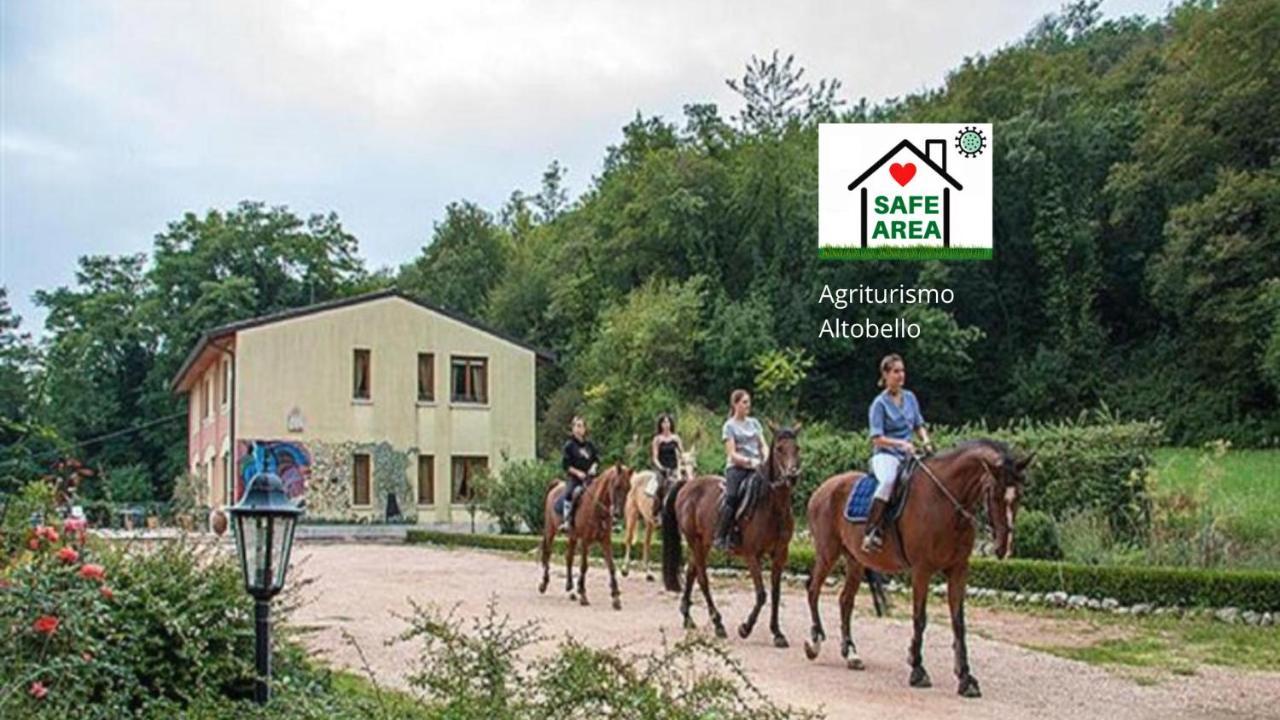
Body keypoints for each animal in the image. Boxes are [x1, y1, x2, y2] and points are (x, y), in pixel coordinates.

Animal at [535, 461, 629, 607]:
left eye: (628, 488)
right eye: (617, 486)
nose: (618, 514)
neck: (596, 507)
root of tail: (557, 485)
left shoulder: (605, 540)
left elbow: (611, 566)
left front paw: (615, 597)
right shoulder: (585, 541)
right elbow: (584, 566)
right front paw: (583, 594)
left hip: (572, 536)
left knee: (568, 557)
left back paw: (570, 588)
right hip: (550, 531)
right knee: (548, 554)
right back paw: (544, 584)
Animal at [622, 448, 701, 576]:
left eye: (695, 468)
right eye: (683, 470)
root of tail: (636, 476)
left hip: (649, 522)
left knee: (646, 543)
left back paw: (648, 572)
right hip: (632, 515)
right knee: (629, 540)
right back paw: (625, 568)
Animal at [660, 422, 798, 648]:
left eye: (797, 448)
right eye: (779, 449)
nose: (792, 475)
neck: (773, 507)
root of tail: (687, 485)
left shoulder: (780, 555)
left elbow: (776, 594)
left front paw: (777, 633)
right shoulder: (752, 556)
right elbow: (762, 594)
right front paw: (745, 628)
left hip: (703, 543)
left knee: (691, 572)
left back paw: (688, 618)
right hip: (694, 541)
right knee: (702, 579)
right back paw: (718, 624)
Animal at [803, 438, 1034, 696]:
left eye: (1019, 495)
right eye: (993, 494)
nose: (1005, 547)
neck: (945, 502)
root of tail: (824, 488)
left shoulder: (958, 570)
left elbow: (958, 622)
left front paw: (965, 678)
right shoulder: (922, 570)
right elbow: (920, 617)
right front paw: (918, 669)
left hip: (855, 561)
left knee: (845, 601)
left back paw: (852, 654)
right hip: (827, 554)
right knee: (813, 589)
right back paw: (814, 642)